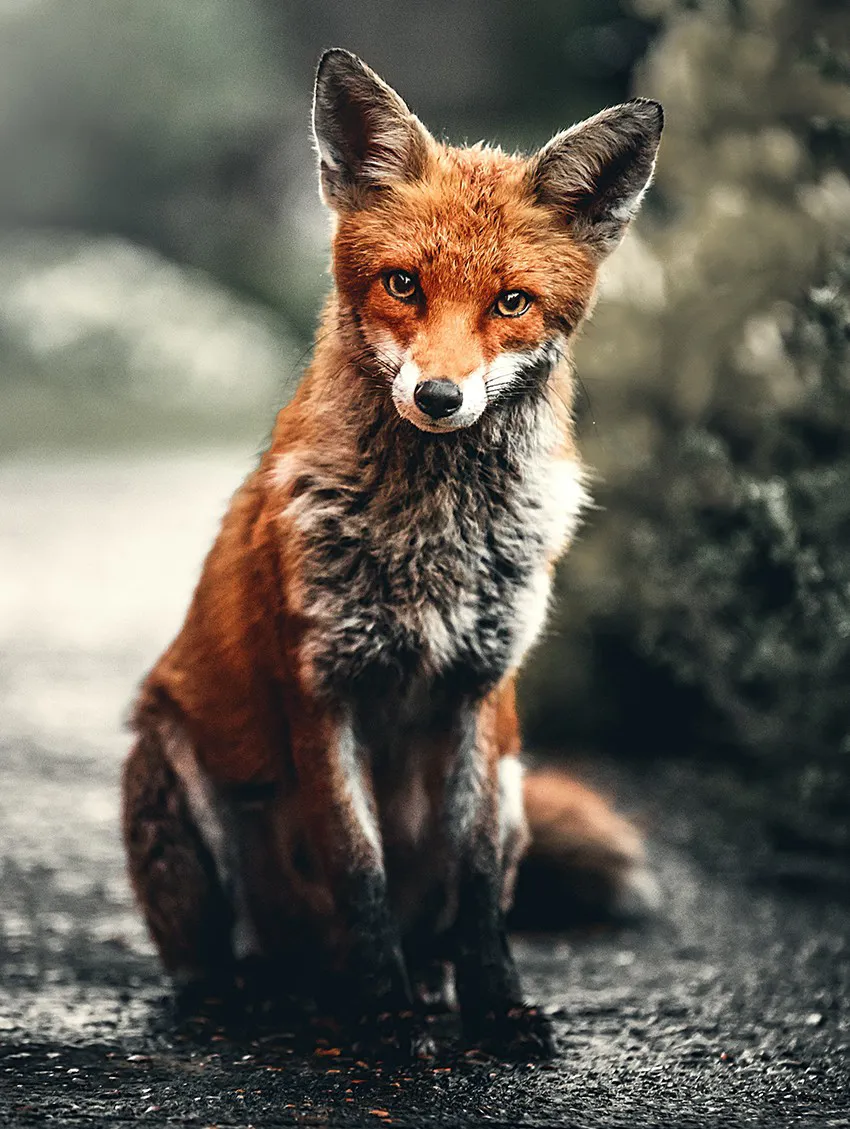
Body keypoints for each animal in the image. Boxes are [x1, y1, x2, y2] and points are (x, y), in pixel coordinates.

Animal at [122, 49, 663, 1060]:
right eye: (404, 284)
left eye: (511, 301)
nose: (441, 397)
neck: (432, 540)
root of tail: (300, 972)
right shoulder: (321, 687)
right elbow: (358, 867)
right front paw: (385, 1016)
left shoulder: (482, 692)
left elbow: (479, 885)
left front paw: (496, 1006)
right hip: (172, 766)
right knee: (218, 961)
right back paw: (257, 998)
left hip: (518, 782)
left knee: (441, 922)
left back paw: (424, 986)